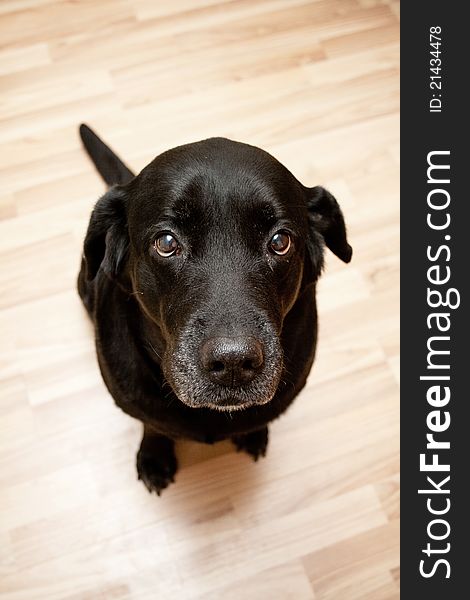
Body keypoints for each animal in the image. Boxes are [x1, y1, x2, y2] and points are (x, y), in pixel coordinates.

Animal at [77, 124, 350, 494]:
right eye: (166, 243)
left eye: (280, 242)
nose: (234, 362)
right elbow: (154, 425)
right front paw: (154, 455)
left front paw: (253, 433)